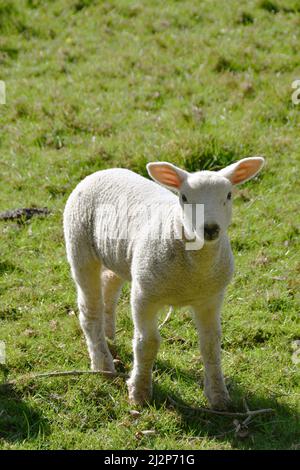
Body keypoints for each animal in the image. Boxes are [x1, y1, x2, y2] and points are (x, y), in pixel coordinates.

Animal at [62, 156, 262, 410]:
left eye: (228, 195)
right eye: (184, 197)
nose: (210, 228)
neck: (191, 273)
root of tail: (103, 172)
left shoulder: (211, 298)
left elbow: (210, 345)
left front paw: (219, 397)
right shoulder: (144, 294)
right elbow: (147, 343)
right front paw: (139, 393)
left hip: (121, 257)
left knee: (109, 285)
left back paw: (109, 337)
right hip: (80, 246)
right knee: (89, 311)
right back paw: (103, 365)